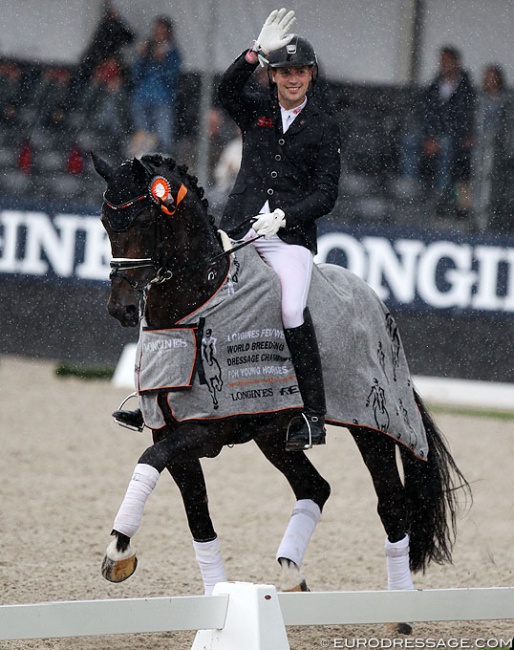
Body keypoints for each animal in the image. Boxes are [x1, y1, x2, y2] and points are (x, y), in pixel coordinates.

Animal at [92, 152, 468, 616]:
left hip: (373, 426)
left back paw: (398, 611)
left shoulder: (207, 429)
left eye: (144, 220)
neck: (198, 303)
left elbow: (149, 460)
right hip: (273, 434)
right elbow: (197, 515)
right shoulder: (169, 428)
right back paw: (290, 573)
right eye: (106, 222)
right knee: (315, 487)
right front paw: (215, 598)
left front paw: (117, 550)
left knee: (390, 503)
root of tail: (377, 305)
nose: (122, 308)